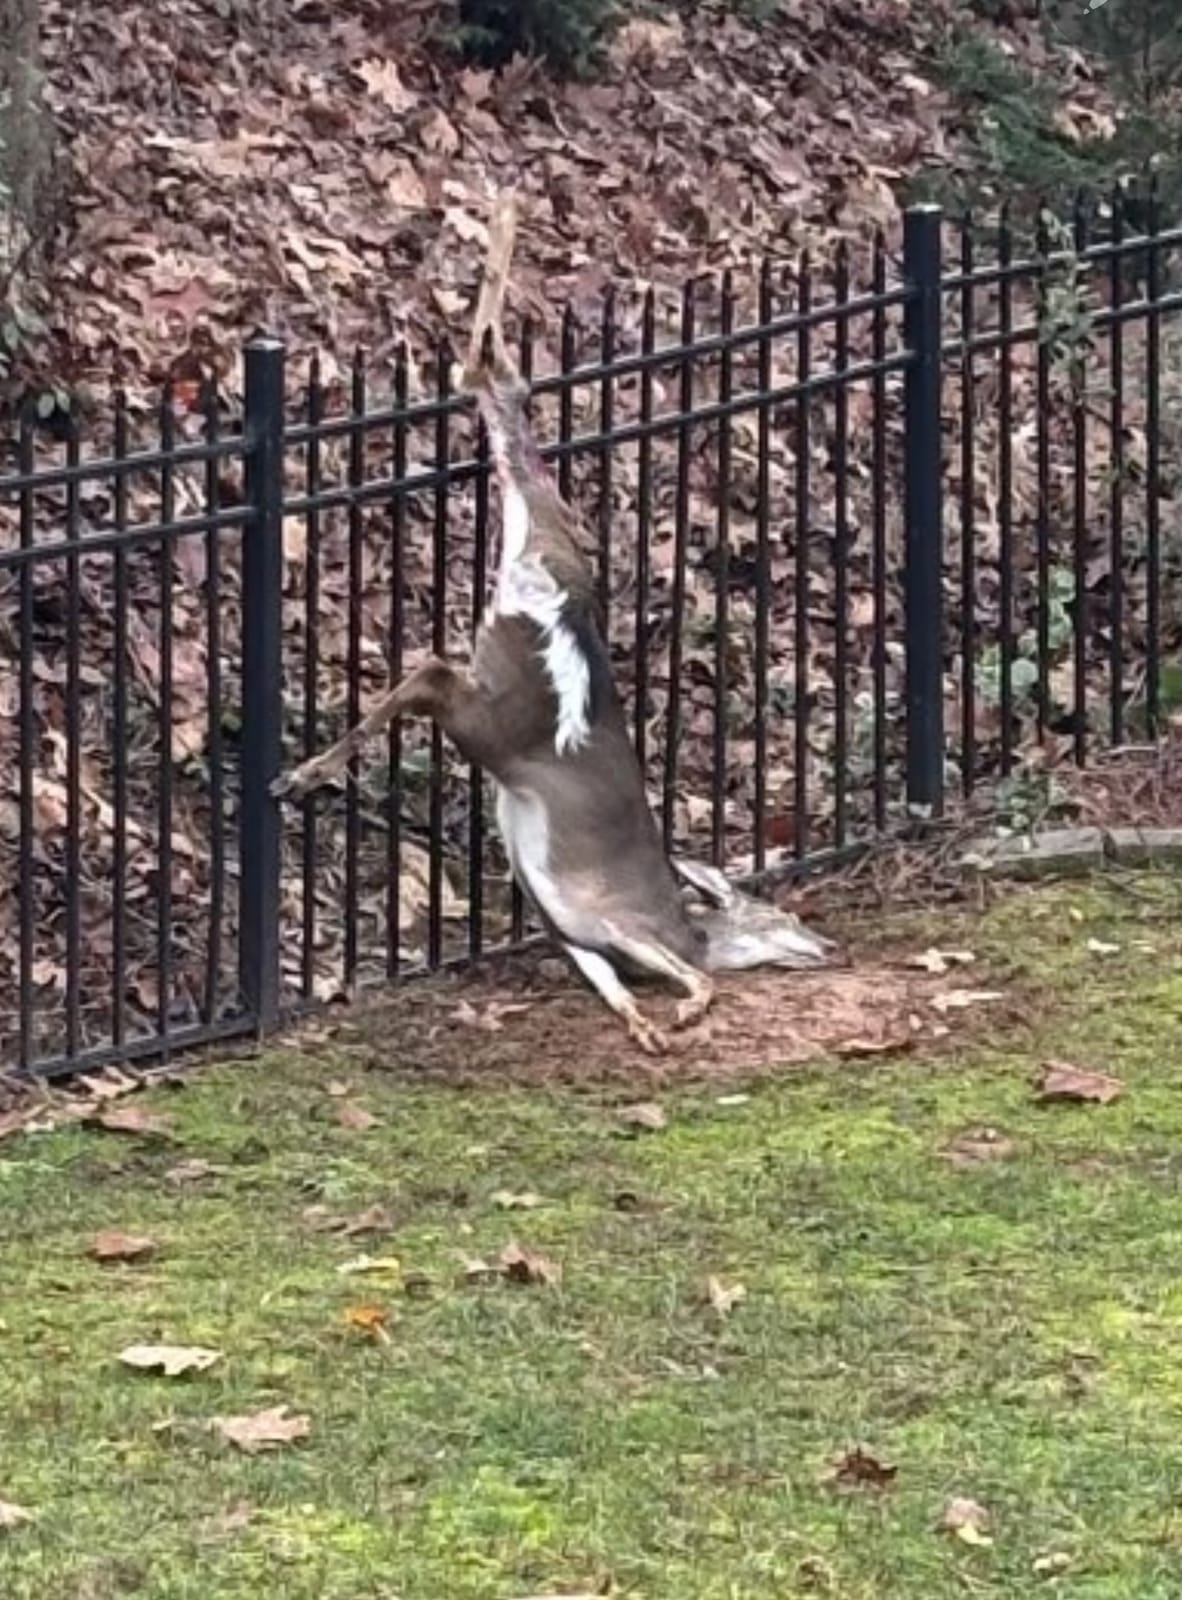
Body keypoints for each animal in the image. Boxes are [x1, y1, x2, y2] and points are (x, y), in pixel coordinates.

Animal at [271, 192, 833, 1053]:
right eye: (783, 915)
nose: (826, 944)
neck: (694, 930)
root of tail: (556, 580)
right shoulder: (624, 920)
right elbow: (697, 979)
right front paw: (684, 1013)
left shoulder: (578, 936)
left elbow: (612, 988)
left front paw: (643, 1024)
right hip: (505, 726)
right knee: (434, 668)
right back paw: (295, 775)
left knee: (496, 377)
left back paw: (496, 205)